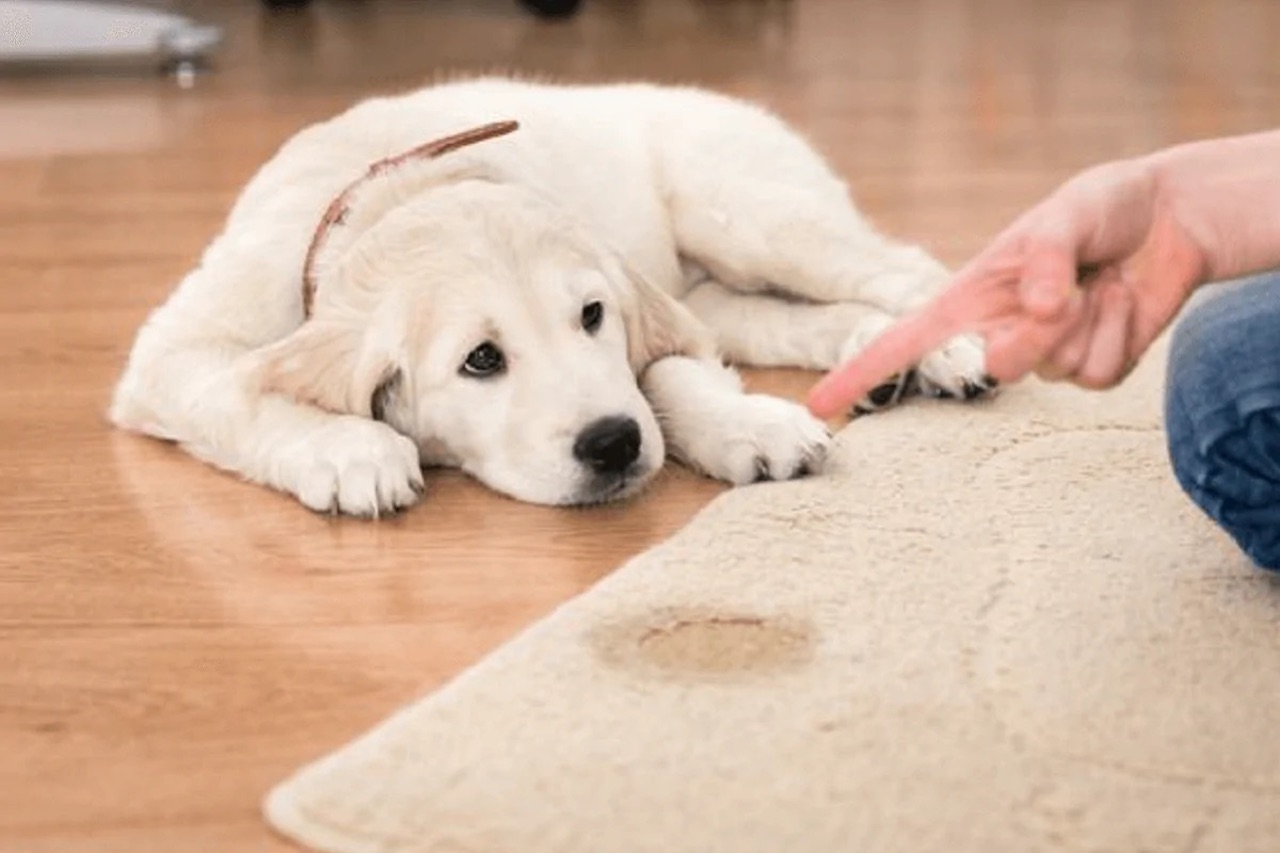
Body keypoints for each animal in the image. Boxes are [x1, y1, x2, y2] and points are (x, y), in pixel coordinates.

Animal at [110, 74, 988, 512]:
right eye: (481, 360)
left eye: (592, 316)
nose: (613, 445)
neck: (395, 187)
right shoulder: (171, 354)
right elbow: (239, 392)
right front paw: (350, 449)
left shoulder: (645, 310)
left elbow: (668, 374)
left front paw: (746, 425)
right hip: (718, 282)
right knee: (781, 316)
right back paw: (878, 358)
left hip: (748, 211)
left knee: (904, 267)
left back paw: (948, 348)